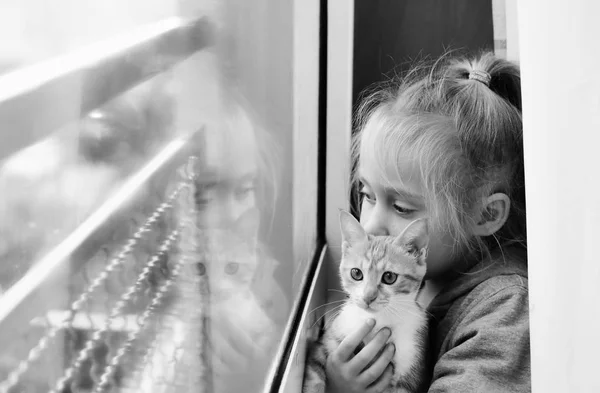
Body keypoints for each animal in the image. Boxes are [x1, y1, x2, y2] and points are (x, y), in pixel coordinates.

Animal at [304, 211, 432, 392]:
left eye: (389, 277)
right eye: (356, 273)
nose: (368, 297)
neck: (377, 321)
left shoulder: (411, 365)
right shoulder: (327, 342)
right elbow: (314, 374)